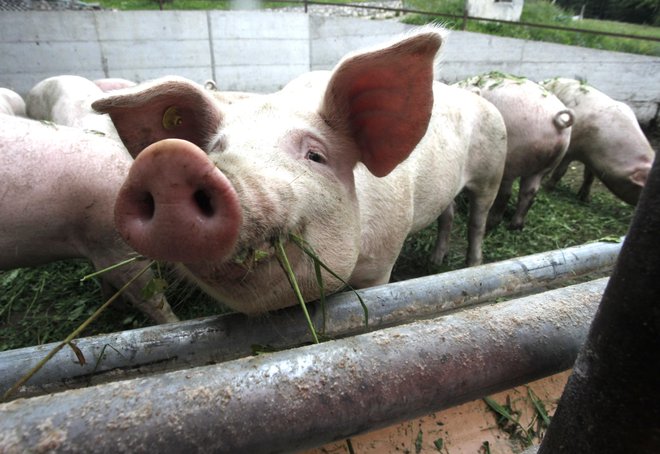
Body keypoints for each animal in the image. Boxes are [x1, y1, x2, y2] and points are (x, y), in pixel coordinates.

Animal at [90, 25, 508, 316]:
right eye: (216, 149)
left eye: (315, 155)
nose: (168, 159)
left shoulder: (382, 262)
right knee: (448, 214)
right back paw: (436, 262)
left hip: (493, 169)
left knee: (478, 219)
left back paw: (472, 265)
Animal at [456, 74, 576, 232]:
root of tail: (557, 122)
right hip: (545, 167)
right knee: (529, 192)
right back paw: (515, 226)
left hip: (510, 162)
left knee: (506, 194)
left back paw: (491, 224)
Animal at [540, 77, 656, 205]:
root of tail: (547, 80)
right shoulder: (570, 150)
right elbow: (560, 172)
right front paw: (548, 189)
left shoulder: (592, 161)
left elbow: (589, 178)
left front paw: (585, 199)